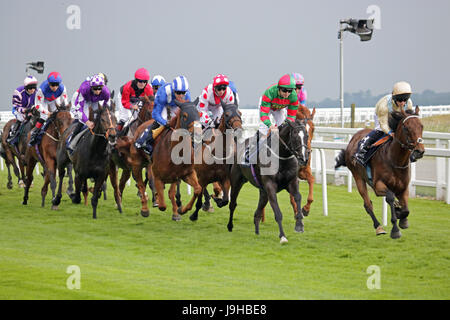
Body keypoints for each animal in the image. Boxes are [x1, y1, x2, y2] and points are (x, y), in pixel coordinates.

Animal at [334, 107, 426, 238]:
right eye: (406, 128)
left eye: (421, 126)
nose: (419, 151)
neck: (394, 159)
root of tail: (353, 138)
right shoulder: (378, 185)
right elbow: (390, 197)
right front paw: (395, 229)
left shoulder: (403, 187)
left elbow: (406, 209)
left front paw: (402, 218)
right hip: (358, 177)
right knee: (368, 204)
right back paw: (379, 227)